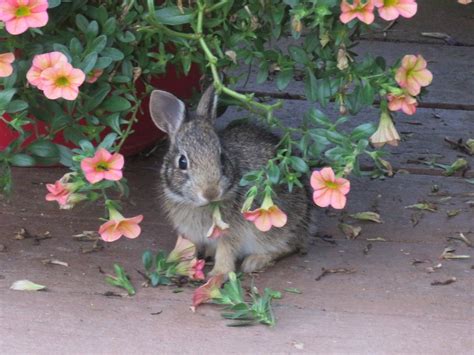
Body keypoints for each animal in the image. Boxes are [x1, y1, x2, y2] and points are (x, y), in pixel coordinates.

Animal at [149, 86, 312, 278]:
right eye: (182, 162)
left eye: (221, 157)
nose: (210, 192)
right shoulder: (190, 233)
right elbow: (190, 249)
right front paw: (183, 267)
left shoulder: (232, 231)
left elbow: (226, 251)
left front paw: (218, 274)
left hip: (276, 227)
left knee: (288, 246)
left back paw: (254, 261)